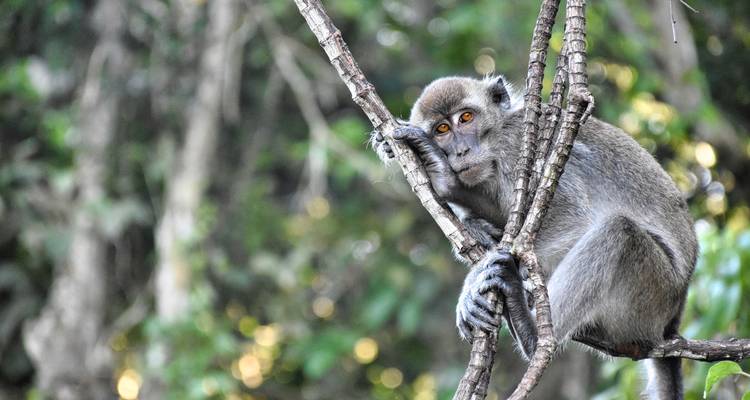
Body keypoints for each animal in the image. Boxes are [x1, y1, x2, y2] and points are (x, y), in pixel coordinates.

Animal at [374, 76, 697, 399]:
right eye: (441, 129)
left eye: (465, 118)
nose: (460, 151)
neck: (497, 137)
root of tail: (672, 319)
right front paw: (447, 183)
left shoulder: (517, 147)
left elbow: (571, 219)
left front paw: (474, 280)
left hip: (652, 294)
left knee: (619, 232)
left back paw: (531, 333)